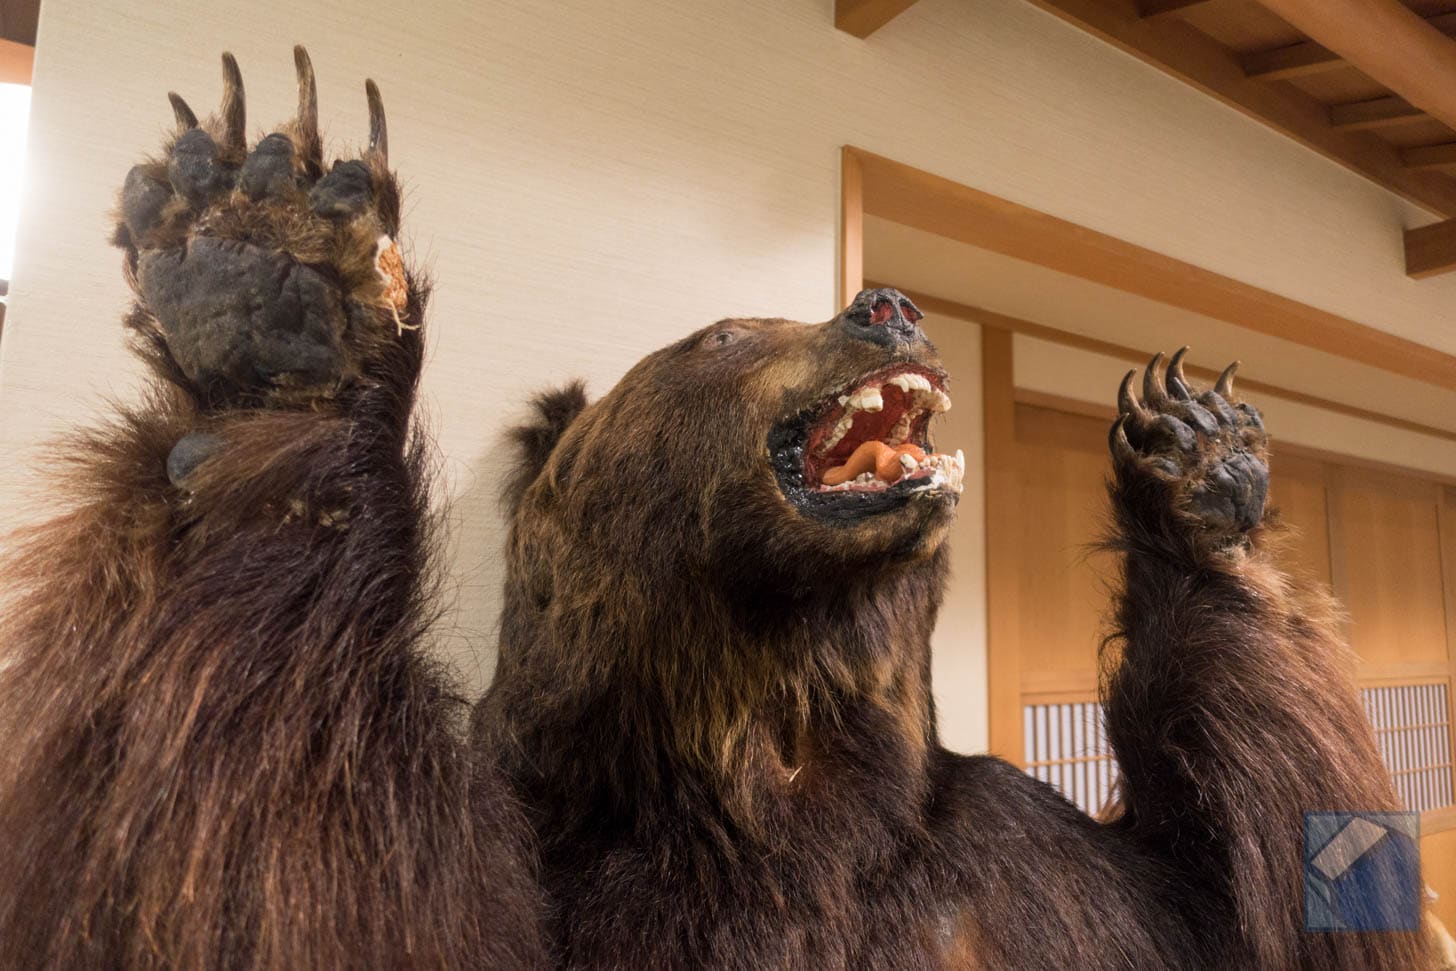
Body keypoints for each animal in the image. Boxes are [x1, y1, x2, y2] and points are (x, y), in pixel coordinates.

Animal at [473, 288, 1434, 969]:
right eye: (723, 334)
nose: (888, 306)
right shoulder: (574, 871)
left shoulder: (1022, 871)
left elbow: (1256, 912)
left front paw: (1194, 442)